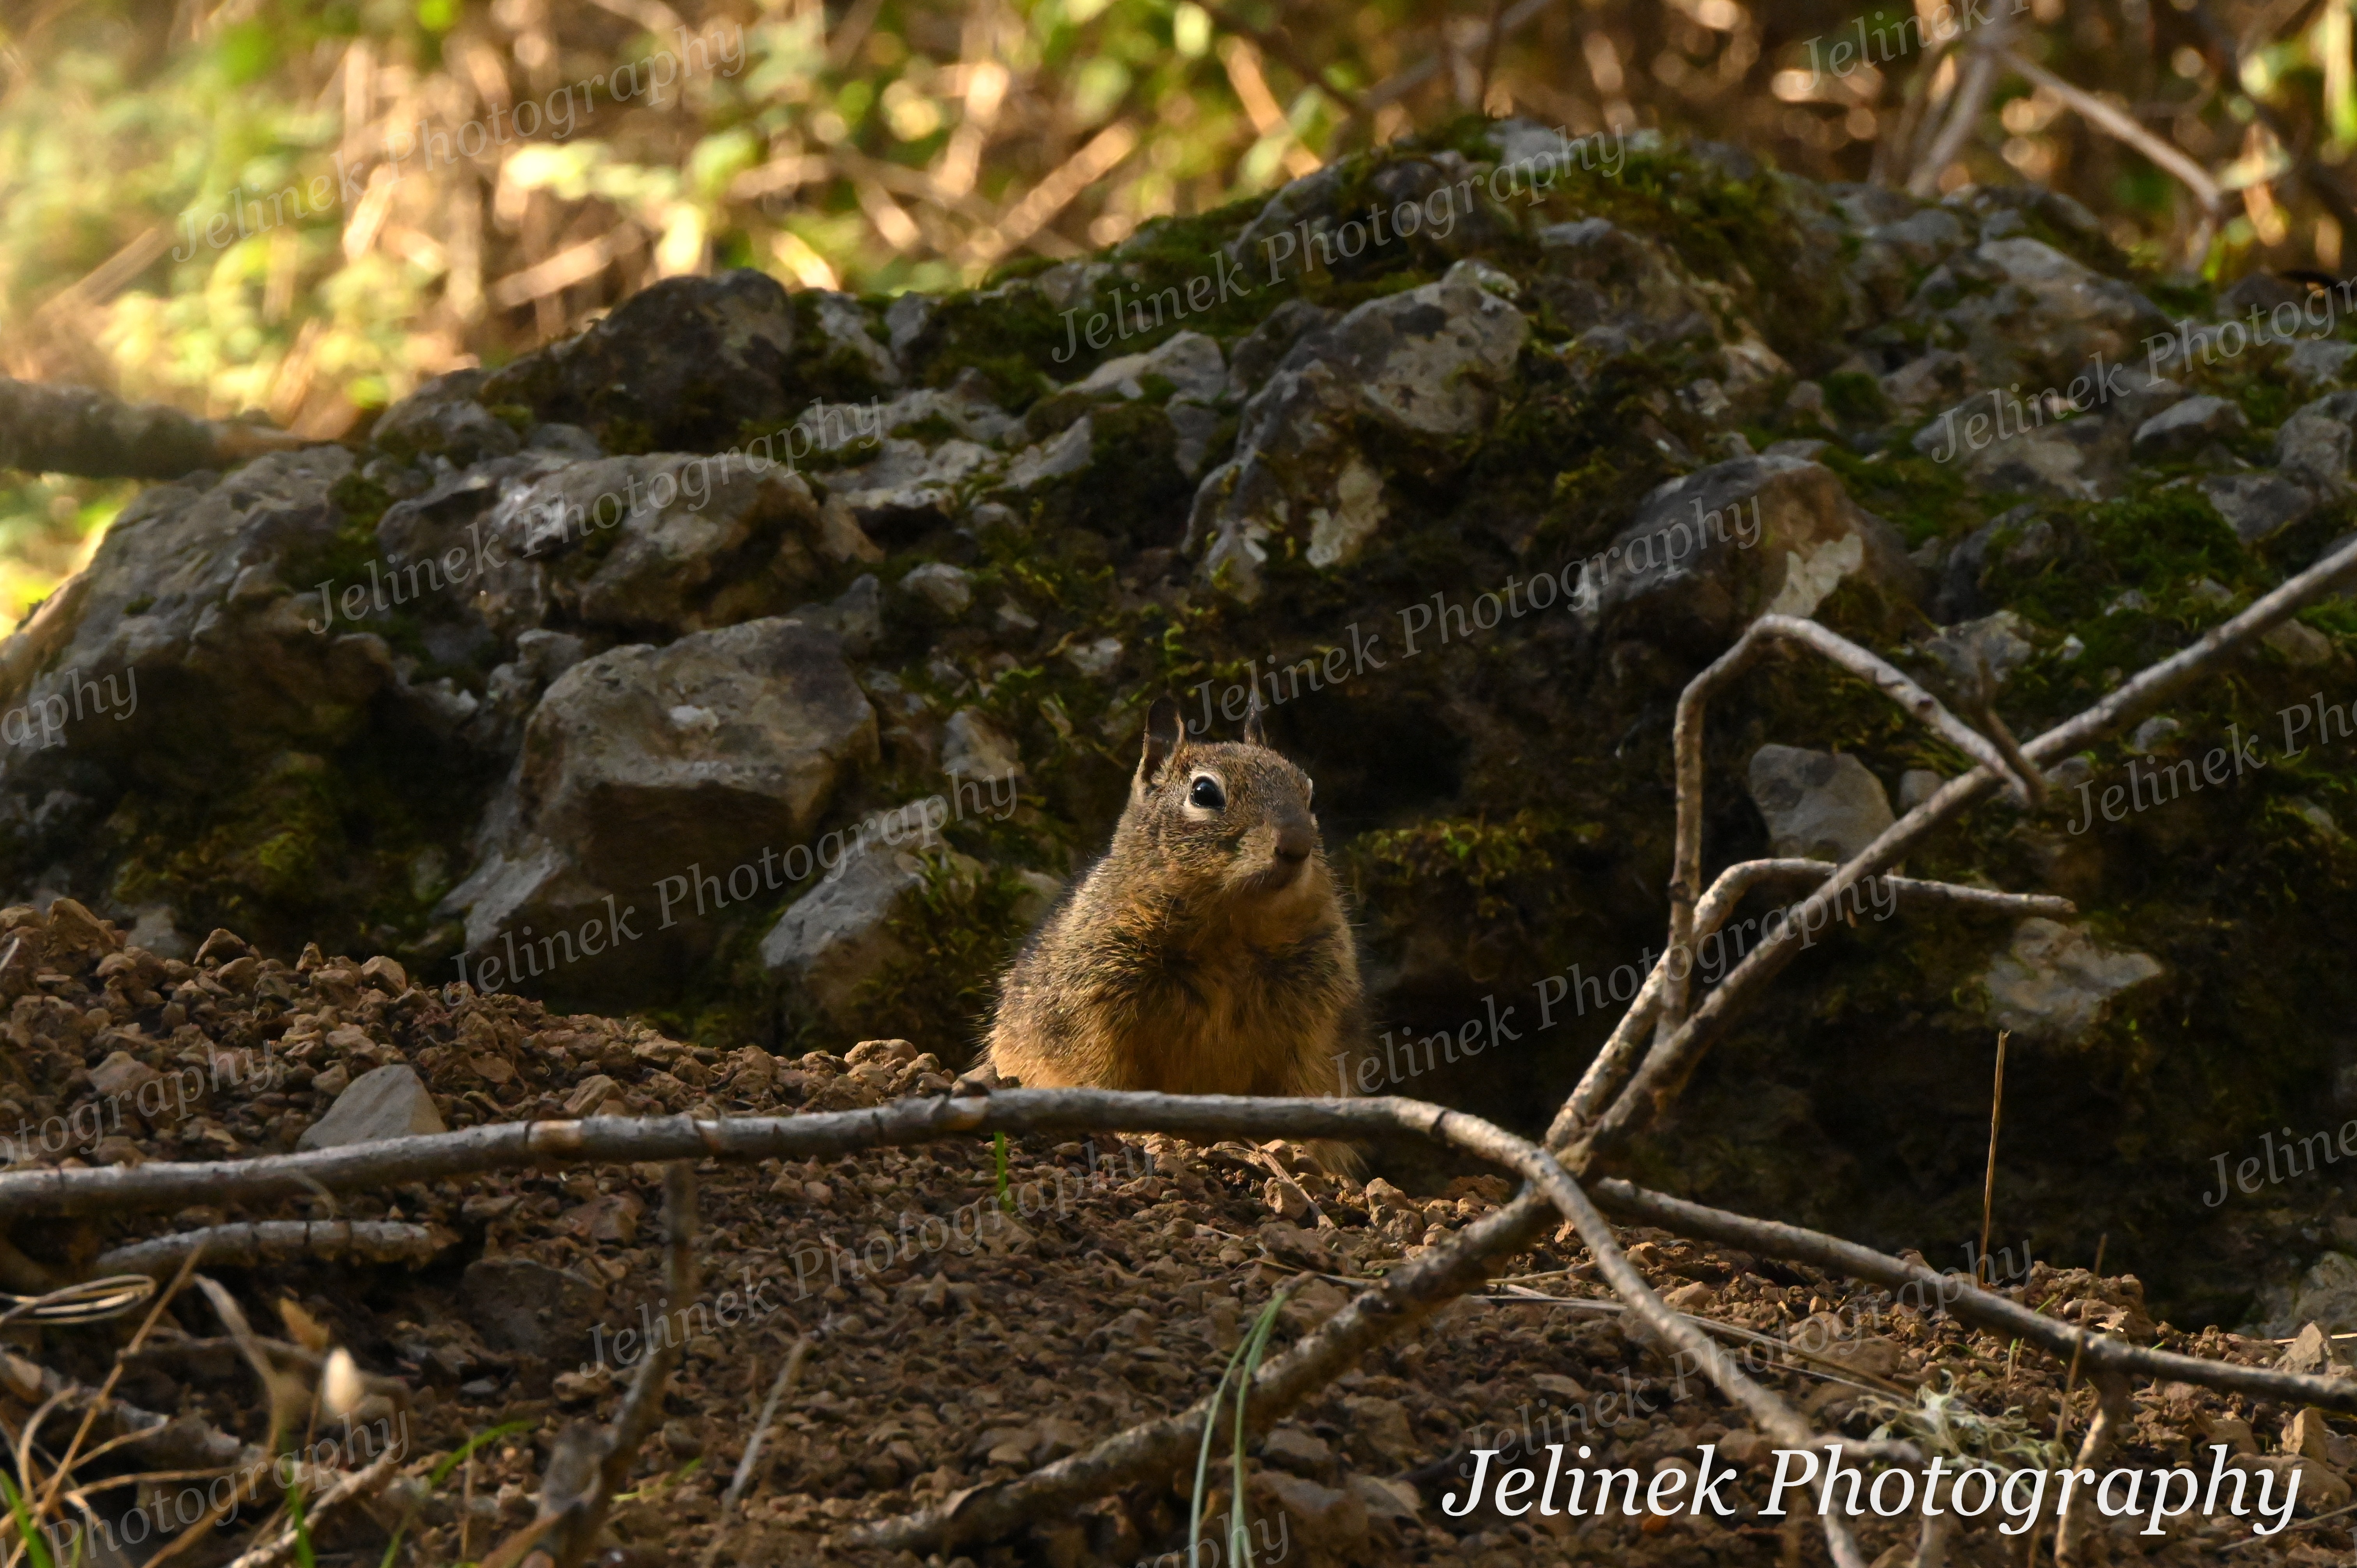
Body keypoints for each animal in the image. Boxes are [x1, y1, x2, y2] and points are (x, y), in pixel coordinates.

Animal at [986, 696, 1365, 1164]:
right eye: (1204, 793)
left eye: (1309, 792)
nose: (1297, 846)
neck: (1230, 933)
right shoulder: (1090, 1008)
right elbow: (1098, 1073)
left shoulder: (1317, 1025)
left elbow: (1306, 1086)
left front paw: (1299, 1147)